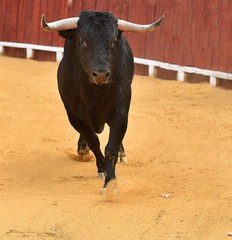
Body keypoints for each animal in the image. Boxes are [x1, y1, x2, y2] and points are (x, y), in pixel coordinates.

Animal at [40, 10, 163, 191]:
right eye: (82, 41)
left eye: (113, 41)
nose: (100, 74)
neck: (94, 92)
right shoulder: (74, 116)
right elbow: (94, 142)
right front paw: (101, 167)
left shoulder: (120, 114)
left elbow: (111, 148)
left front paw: (110, 184)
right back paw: (82, 150)